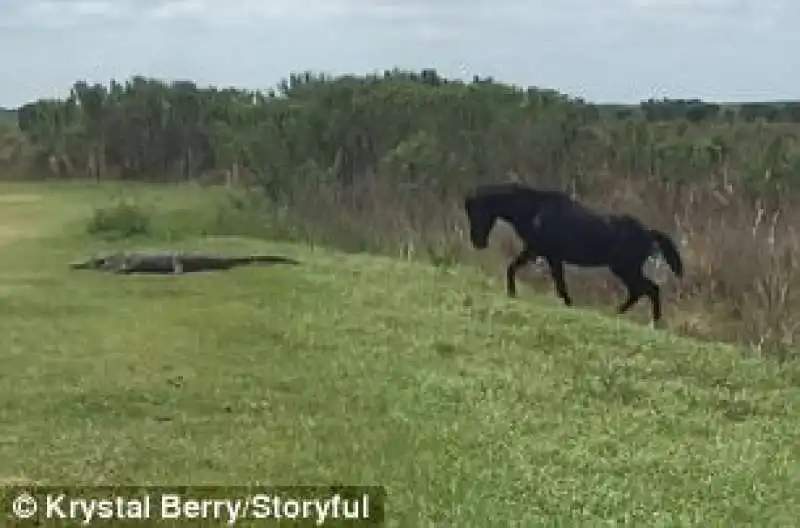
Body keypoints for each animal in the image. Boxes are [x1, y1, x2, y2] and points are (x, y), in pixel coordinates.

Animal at [466, 184, 684, 324]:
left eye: (476, 211)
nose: (477, 243)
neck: (535, 211)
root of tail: (648, 232)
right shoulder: (540, 252)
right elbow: (515, 268)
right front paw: (512, 294)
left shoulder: (545, 253)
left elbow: (558, 283)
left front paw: (568, 305)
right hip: (624, 269)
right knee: (641, 291)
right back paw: (619, 314)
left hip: (626, 268)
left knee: (650, 289)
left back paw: (652, 322)